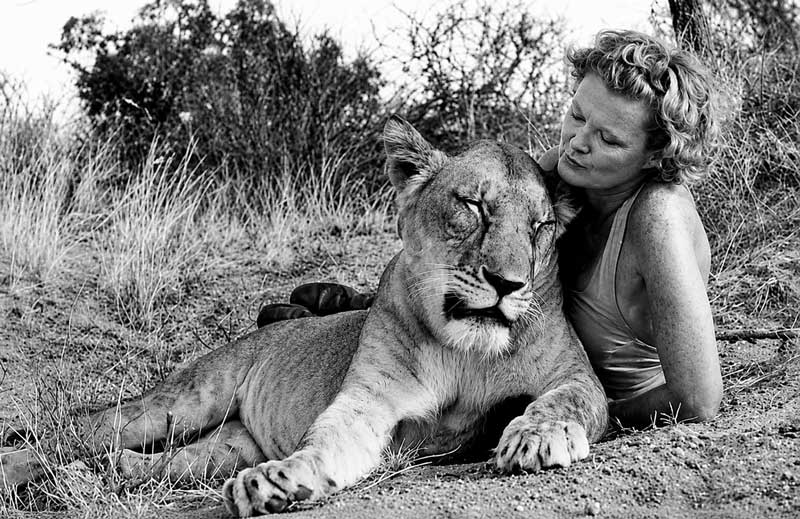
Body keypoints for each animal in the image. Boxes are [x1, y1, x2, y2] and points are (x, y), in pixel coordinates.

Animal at [1, 116, 607, 516]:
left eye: (540, 227)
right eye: (474, 206)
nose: (510, 284)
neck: (465, 348)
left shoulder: (577, 376)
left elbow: (565, 400)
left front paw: (536, 437)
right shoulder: (368, 401)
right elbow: (326, 439)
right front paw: (281, 479)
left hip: (221, 447)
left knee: (152, 463)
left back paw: (104, 474)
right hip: (183, 401)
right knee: (78, 431)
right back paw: (19, 469)